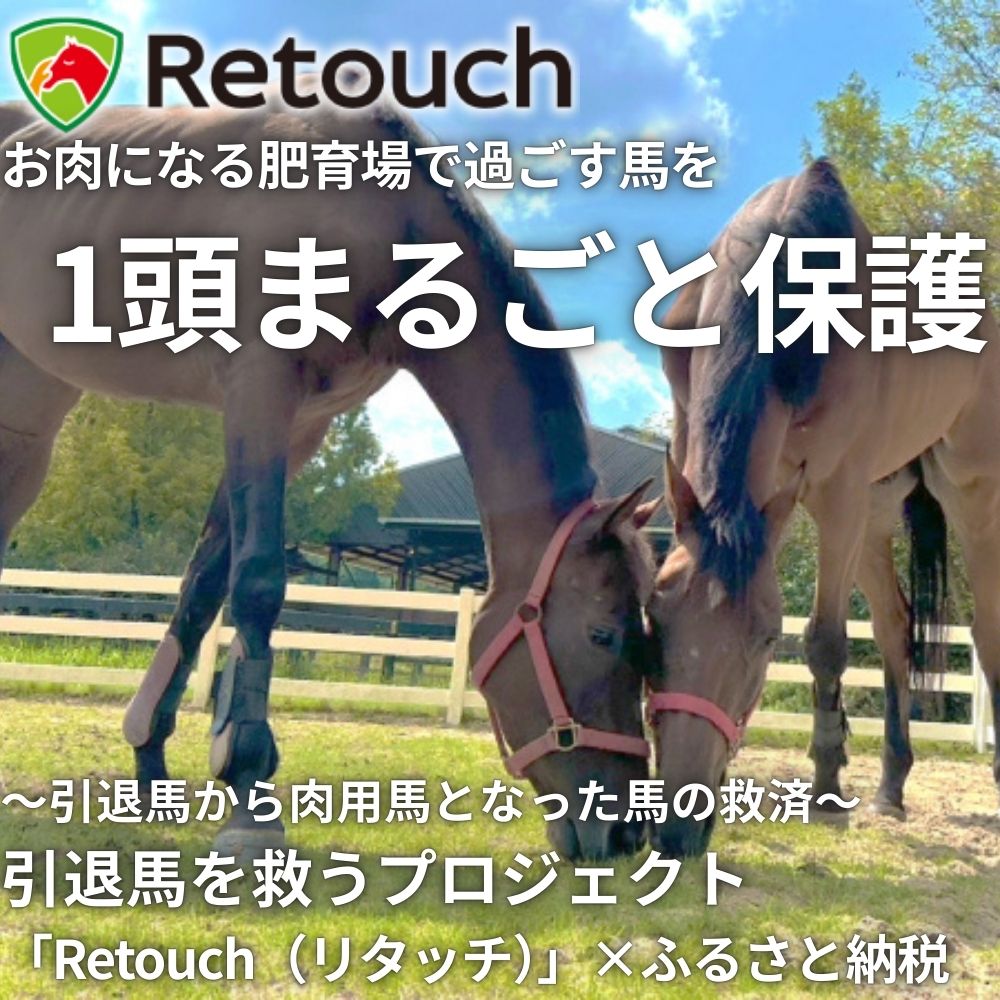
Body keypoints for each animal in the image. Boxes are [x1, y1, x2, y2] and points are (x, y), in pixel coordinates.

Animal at [0, 92, 659, 861]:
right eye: (603, 635)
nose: (626, 833)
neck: (383, 213)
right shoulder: (258, 389)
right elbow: (257, 582)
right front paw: (248, 788)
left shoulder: (302, 424)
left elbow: (202, 590)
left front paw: (151, 761)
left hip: (31, 409)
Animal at [645, 159, 997, 857]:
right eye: (655, 619)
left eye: (764, 640)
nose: (676, 828)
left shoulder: (836, 489)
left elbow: (826, 643)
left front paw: (828, 788)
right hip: (876, 513)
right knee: (893, 626)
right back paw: (891, 786)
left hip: (963, 495)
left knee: (986, 629)